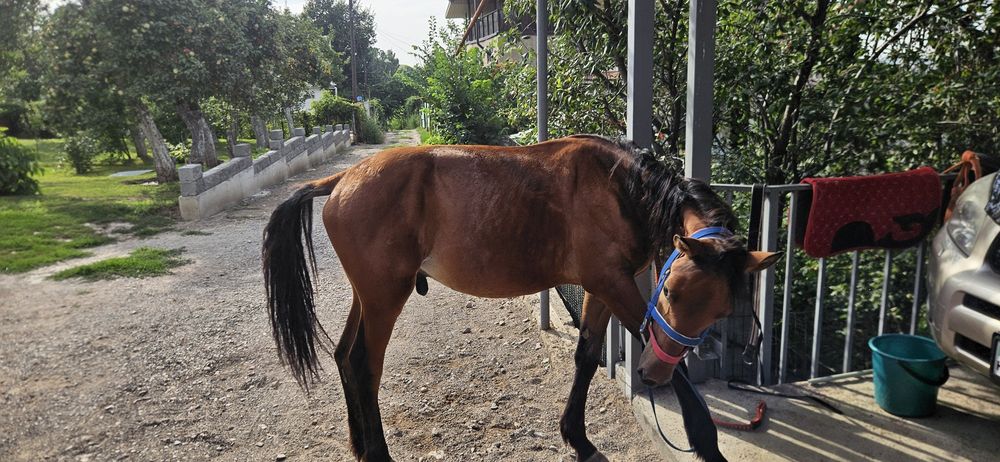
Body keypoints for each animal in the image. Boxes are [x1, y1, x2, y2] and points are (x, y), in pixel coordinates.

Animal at [262, 134, 780, 461]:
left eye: (722, 310)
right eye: (670, 290)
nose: (652, 375)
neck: (619, 188)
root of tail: (342, 179)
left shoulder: (600, 289)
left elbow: (586, 357)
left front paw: (577, 438)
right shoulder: (614, 285)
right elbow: (677, 371)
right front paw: (707, 443)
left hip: (368, 294)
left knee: (344, 356)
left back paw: (359, 444)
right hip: (385, 296)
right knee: (365, 365)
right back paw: (378, 453)